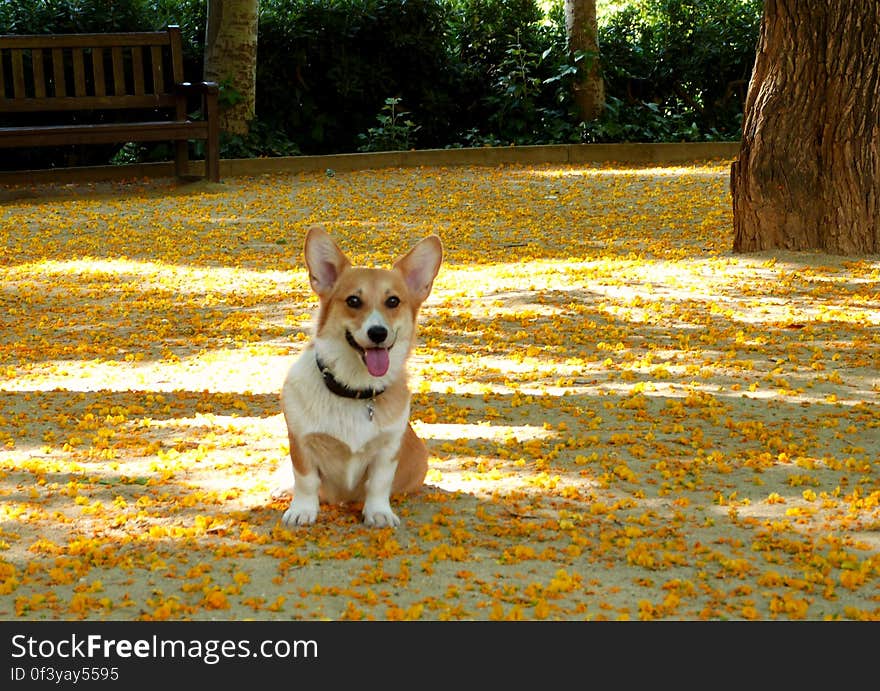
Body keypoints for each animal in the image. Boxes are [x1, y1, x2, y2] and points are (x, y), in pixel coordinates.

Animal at [282, 224, 444, 528]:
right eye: (353, 301)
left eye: (393, 301)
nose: (378, 333)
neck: (355, 389)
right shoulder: (301, 442)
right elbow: (306, 481)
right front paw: (302, 511)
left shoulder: (388, 449)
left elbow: (379, 484)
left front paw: (378, 513)